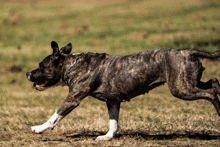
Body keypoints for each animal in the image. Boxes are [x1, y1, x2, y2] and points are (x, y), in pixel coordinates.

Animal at [25, 41, 220, 140]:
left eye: (41, 66)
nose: (27, 73)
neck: (71, 65)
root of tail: (187, 52)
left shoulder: (73, 98)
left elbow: (55, 116)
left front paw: (39, 128)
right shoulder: (112, 101)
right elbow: (113, 122)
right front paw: (108, 137)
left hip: (181, 88)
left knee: (210, 93)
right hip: (190, 82)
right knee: (214, 83)